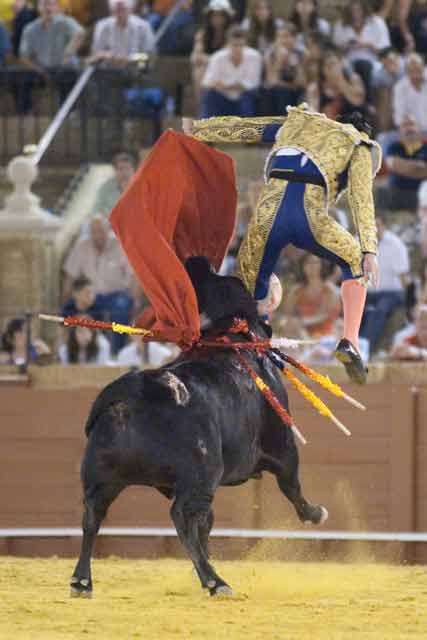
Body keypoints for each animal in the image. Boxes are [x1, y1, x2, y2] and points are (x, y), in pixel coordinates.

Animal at [72, 258, 328, 596]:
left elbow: (208, 524)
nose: (202, 264)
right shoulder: (283, 447)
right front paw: (315, 514)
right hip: (201, 475)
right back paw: (215, 581)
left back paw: (81, 580)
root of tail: (134, 392)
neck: (229, 335)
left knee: (93, 514)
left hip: (103, 476)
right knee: (181, 517)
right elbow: (292, 487)